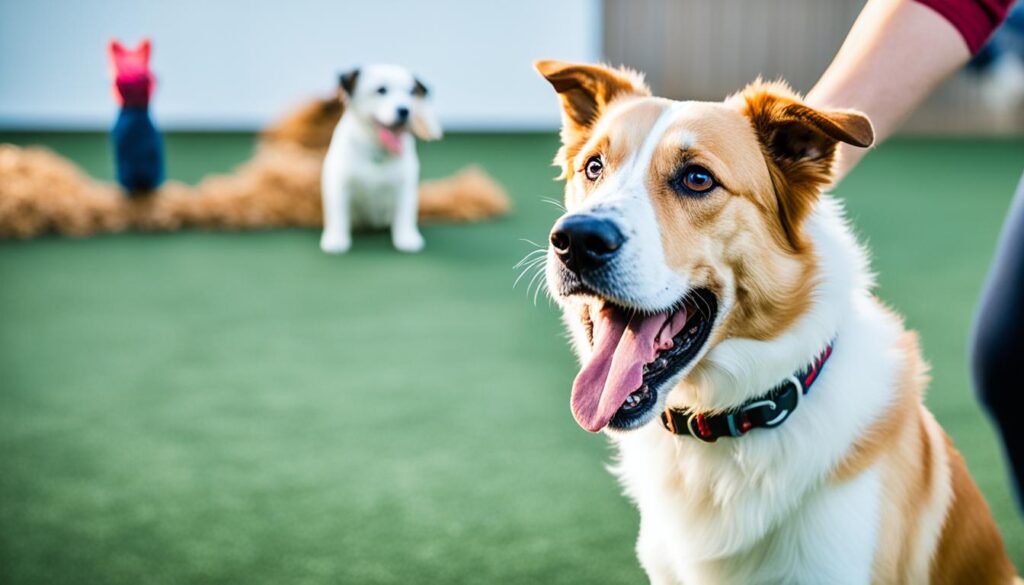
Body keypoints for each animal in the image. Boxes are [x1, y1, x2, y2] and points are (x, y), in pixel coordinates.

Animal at [319, 64, 440, 254]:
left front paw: (406, 238)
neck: (376, 148)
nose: (405, 110)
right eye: (381, 90)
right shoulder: (339, 184)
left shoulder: (405, 186)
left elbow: (405, 215)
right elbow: (338, 215)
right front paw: (336, 239)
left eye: (411, 92)